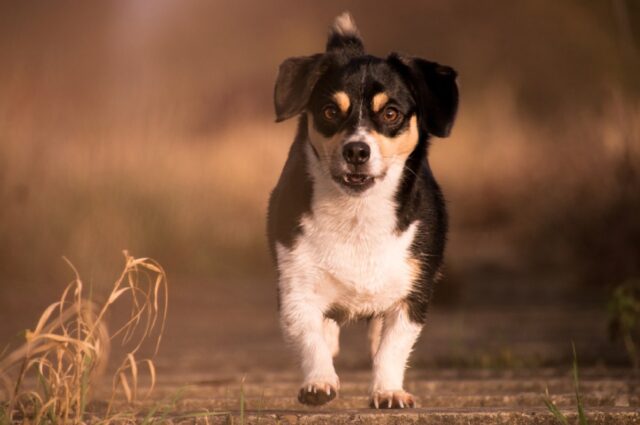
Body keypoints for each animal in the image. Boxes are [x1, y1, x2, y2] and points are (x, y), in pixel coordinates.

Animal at [268, 10, 458, 408]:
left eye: (391, 113)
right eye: (329, 111)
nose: (356, 150)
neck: (358, 215)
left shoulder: (413, 296)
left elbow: (392, 348)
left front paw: (388, 390)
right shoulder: (295, 289)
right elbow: (309, 338)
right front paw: (319, 382)